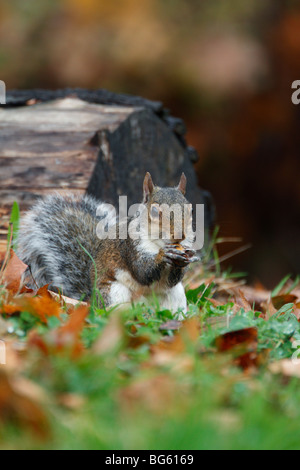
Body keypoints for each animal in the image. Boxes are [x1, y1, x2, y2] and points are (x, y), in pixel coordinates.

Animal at [17, 172, 198, 312]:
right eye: (154, 211)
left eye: (190, 210)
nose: (180, 235)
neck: (159, 242)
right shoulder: (131, 246)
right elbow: (143, 271)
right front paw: (163, 255)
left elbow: (172, 279)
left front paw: (186, 257)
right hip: (114, 293)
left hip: (176, 296)